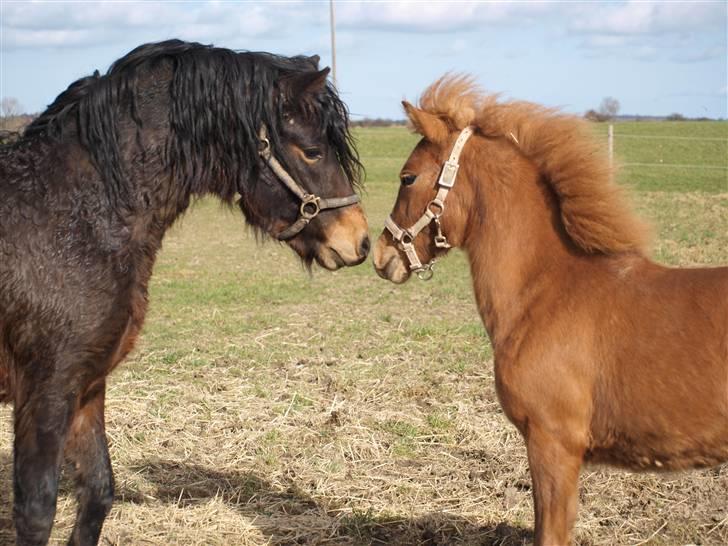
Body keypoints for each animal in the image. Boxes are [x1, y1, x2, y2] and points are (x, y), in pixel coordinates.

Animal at [0, 39, 366, 544]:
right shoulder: (46, 389)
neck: (67, 220)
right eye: (312, 151)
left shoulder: (87, 385)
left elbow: (98, 491)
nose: (360, 241)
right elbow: (37, 511)